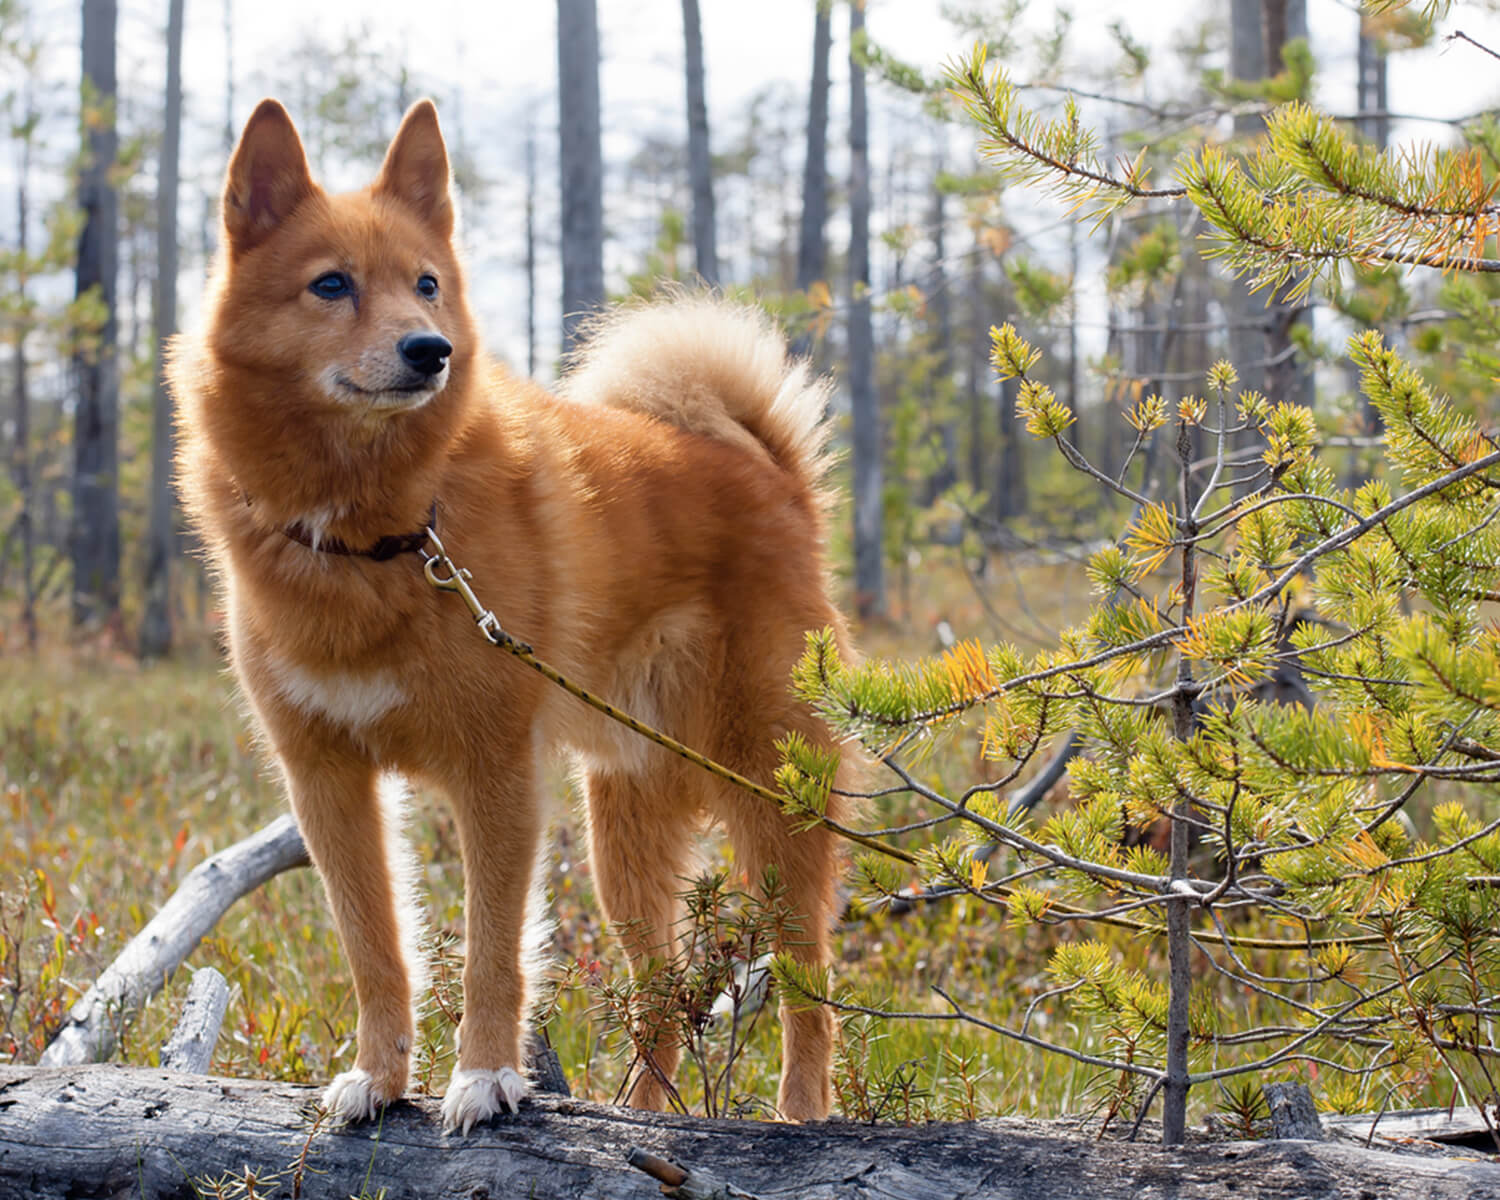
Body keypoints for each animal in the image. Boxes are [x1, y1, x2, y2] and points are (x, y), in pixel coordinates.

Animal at [168, 98, 858, 1128]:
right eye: (330, 285)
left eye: (426, 284)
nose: (431, 350)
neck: (383, 534)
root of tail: (771, 475)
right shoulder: (327, 783)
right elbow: (376, 951)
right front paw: (378, 1078)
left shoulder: (493, 775)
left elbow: (494, 950)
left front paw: (485, 1075)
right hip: (625, 839)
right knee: (659, 994)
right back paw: (641, 1116)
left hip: (769, 797)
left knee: (809, 979)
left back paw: (801, 1113)